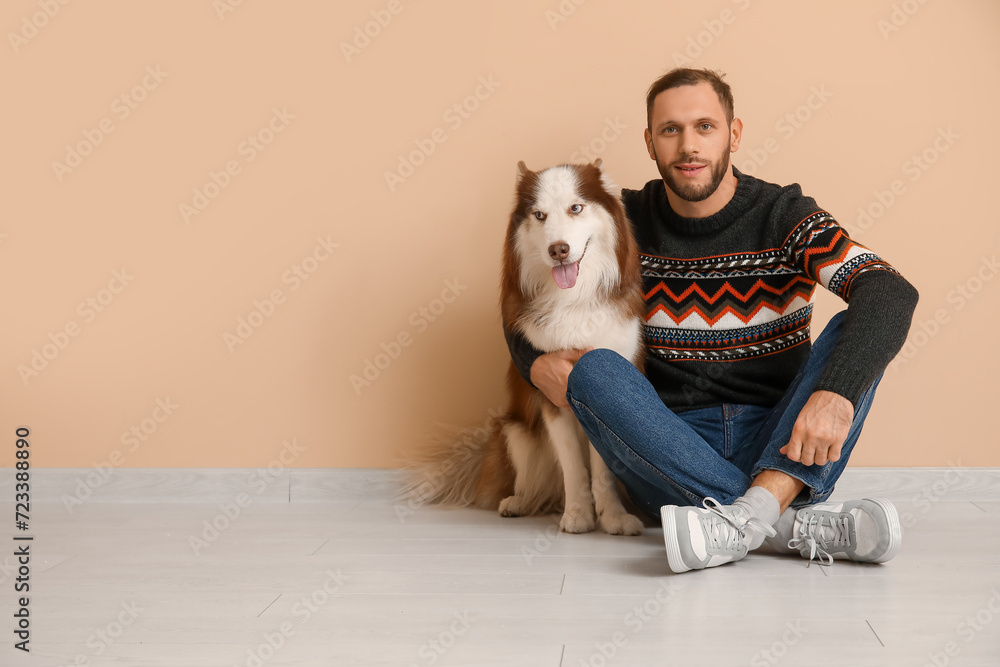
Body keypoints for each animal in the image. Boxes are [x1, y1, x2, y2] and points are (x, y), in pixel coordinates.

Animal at [402, 159, 644, 536]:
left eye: (576, 208)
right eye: (539, 215)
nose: (558, 250)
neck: (573, 298)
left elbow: (602, 468)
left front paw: (613, 517)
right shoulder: (550, 391)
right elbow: (572, 464)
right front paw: (579, 513)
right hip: (514, 432)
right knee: (537, 484)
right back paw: (521, 502)